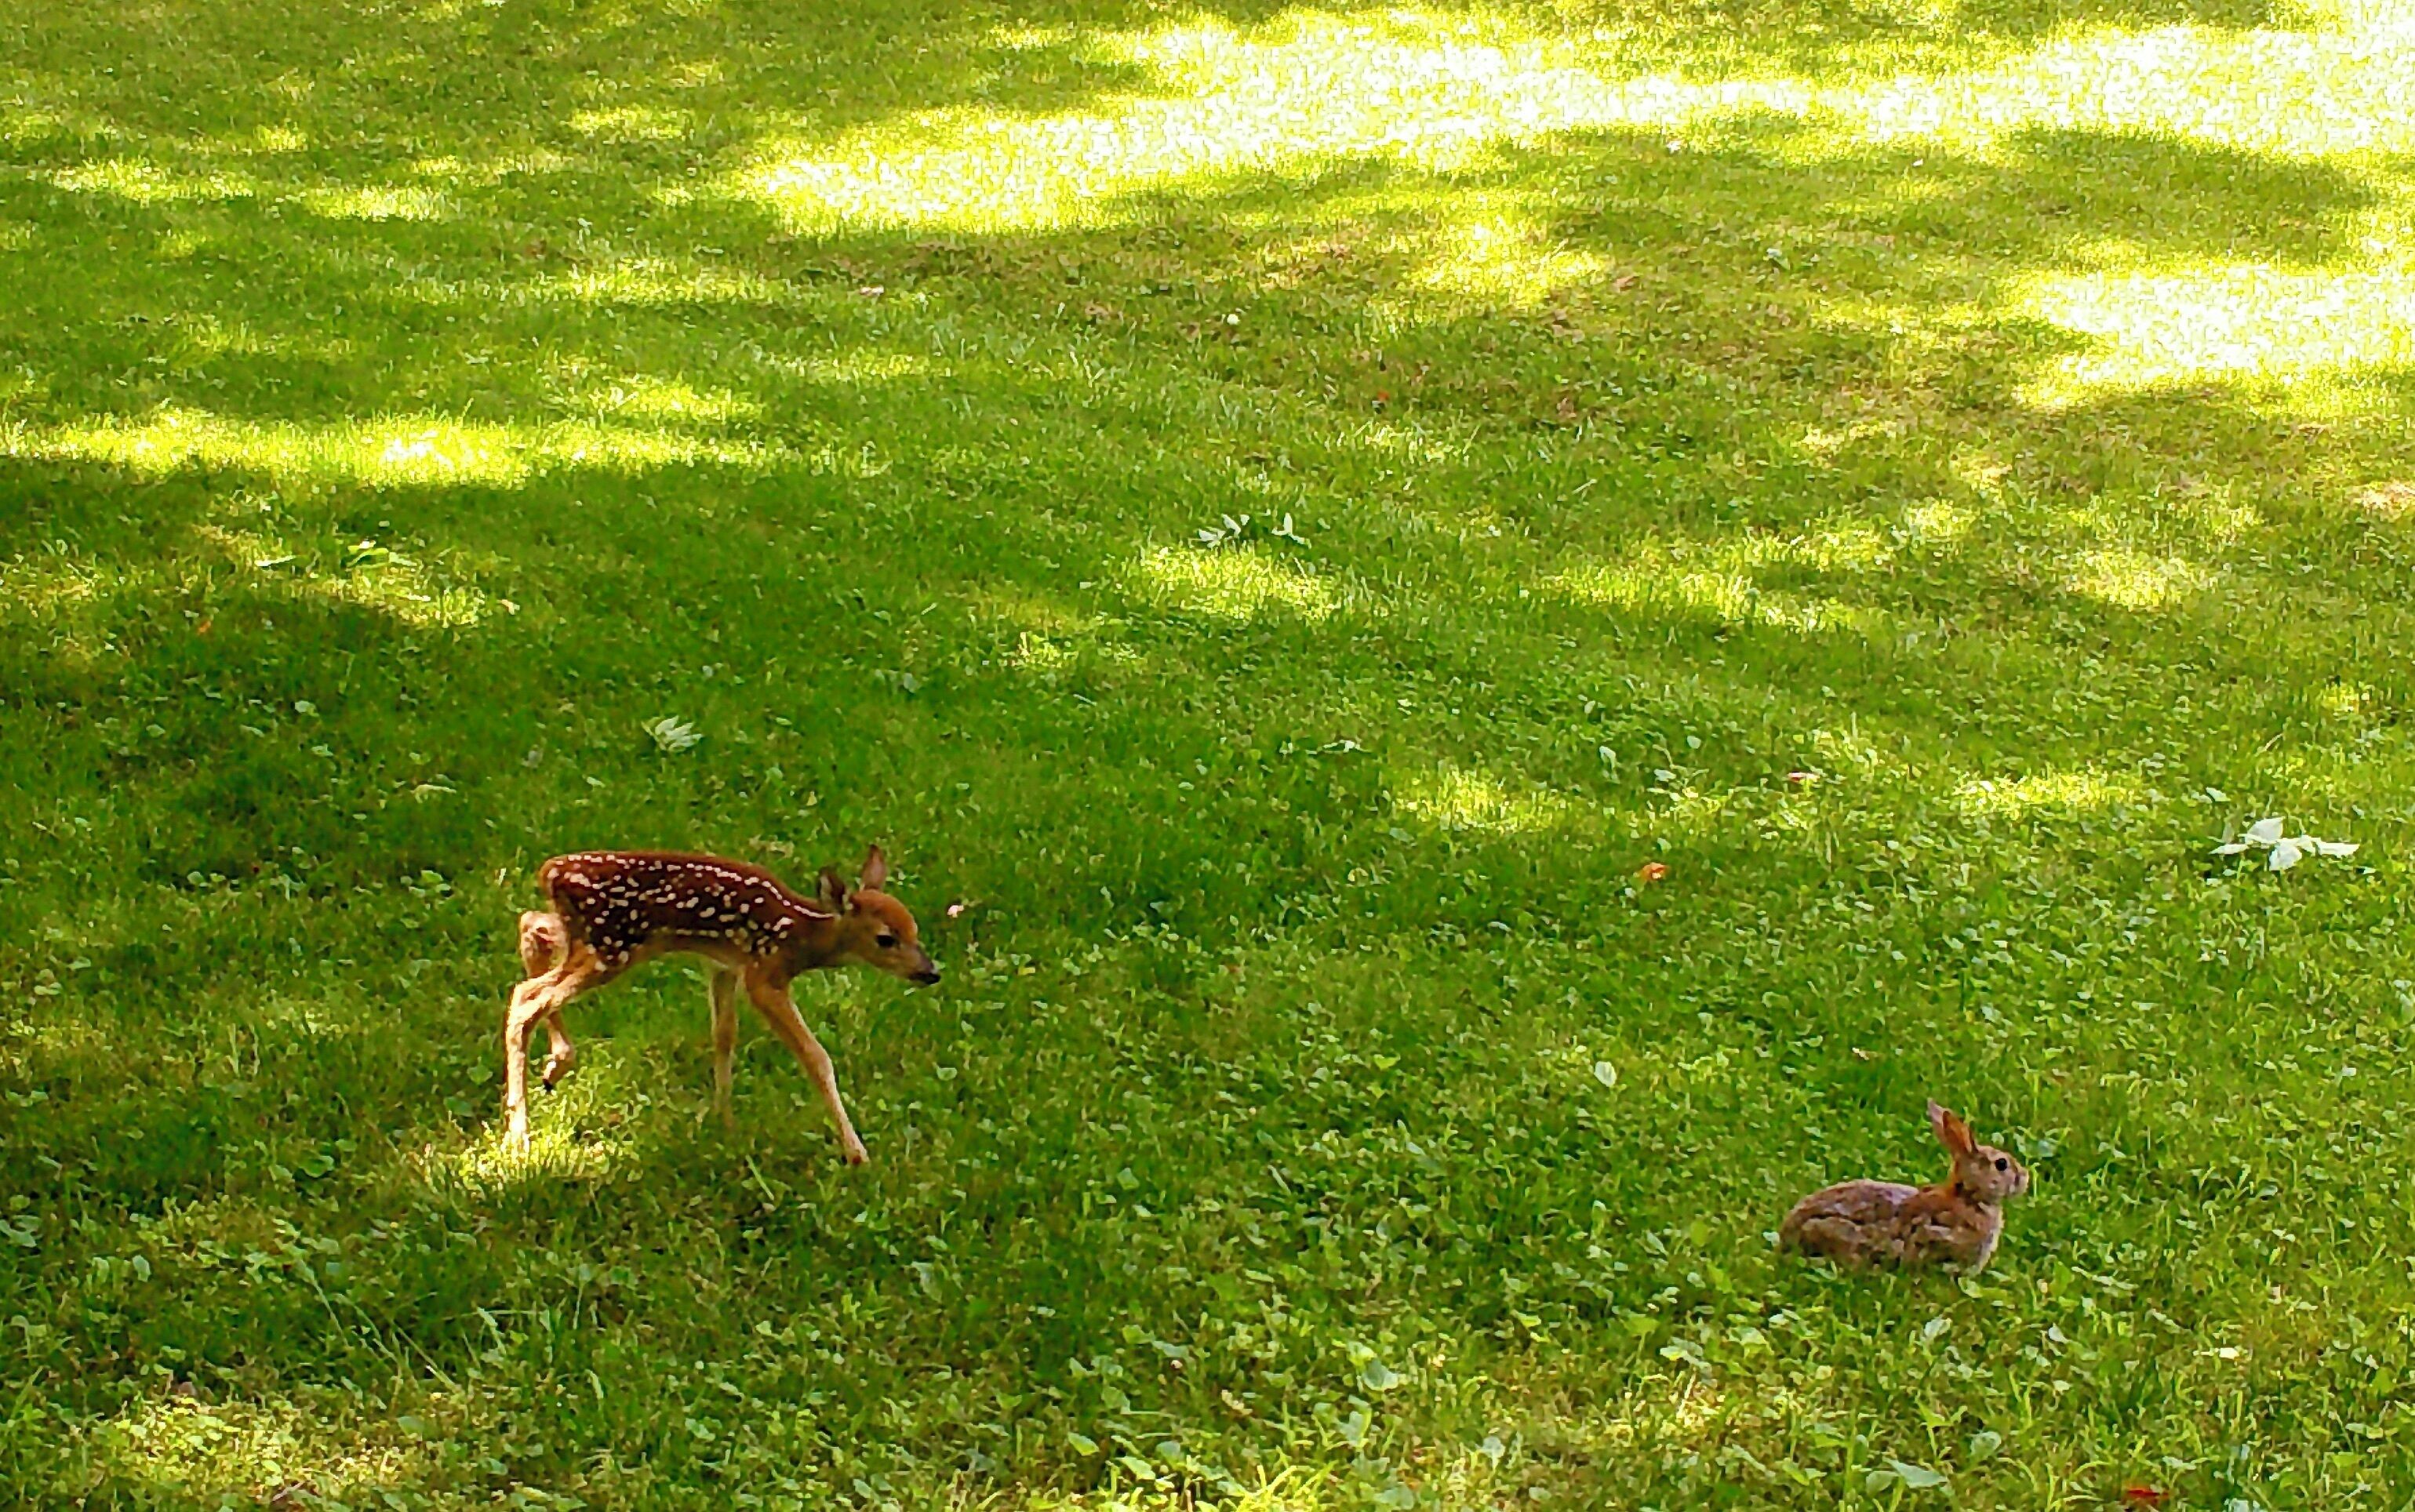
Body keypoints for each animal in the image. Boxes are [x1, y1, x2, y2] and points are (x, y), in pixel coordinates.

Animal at [504, 844, 937, 1161]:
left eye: (914, 927)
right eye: (886, 938)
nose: (930, 972)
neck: (801, 936)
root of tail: (550, 871)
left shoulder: (724, 964)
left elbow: (724, 1035)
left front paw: (724, 1121)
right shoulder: (764, 975)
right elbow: (816, 1057)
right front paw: (857, 1153)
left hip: (583, 936)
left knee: (530, 929)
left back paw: (555, 1066)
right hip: (610, 947)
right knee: (528, 997)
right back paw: (520, 1132)